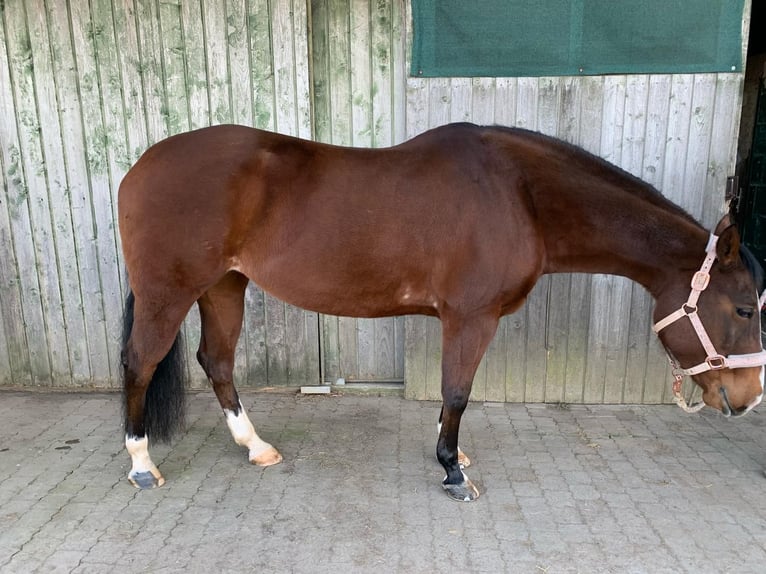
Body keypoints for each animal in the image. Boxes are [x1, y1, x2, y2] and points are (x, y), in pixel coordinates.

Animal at [120, 124, 766, 502]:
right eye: (742, 307)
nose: (748, 397)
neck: (518, 195)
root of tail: (139, 166)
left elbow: (449, 394)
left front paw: (452, 452)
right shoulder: (471, 317)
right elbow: (458, 391)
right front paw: (454, 472)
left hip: (224, 286)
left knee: (217, 361)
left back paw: (255, 446)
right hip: (170, 291)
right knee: (140, 363)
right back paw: (141, 464)